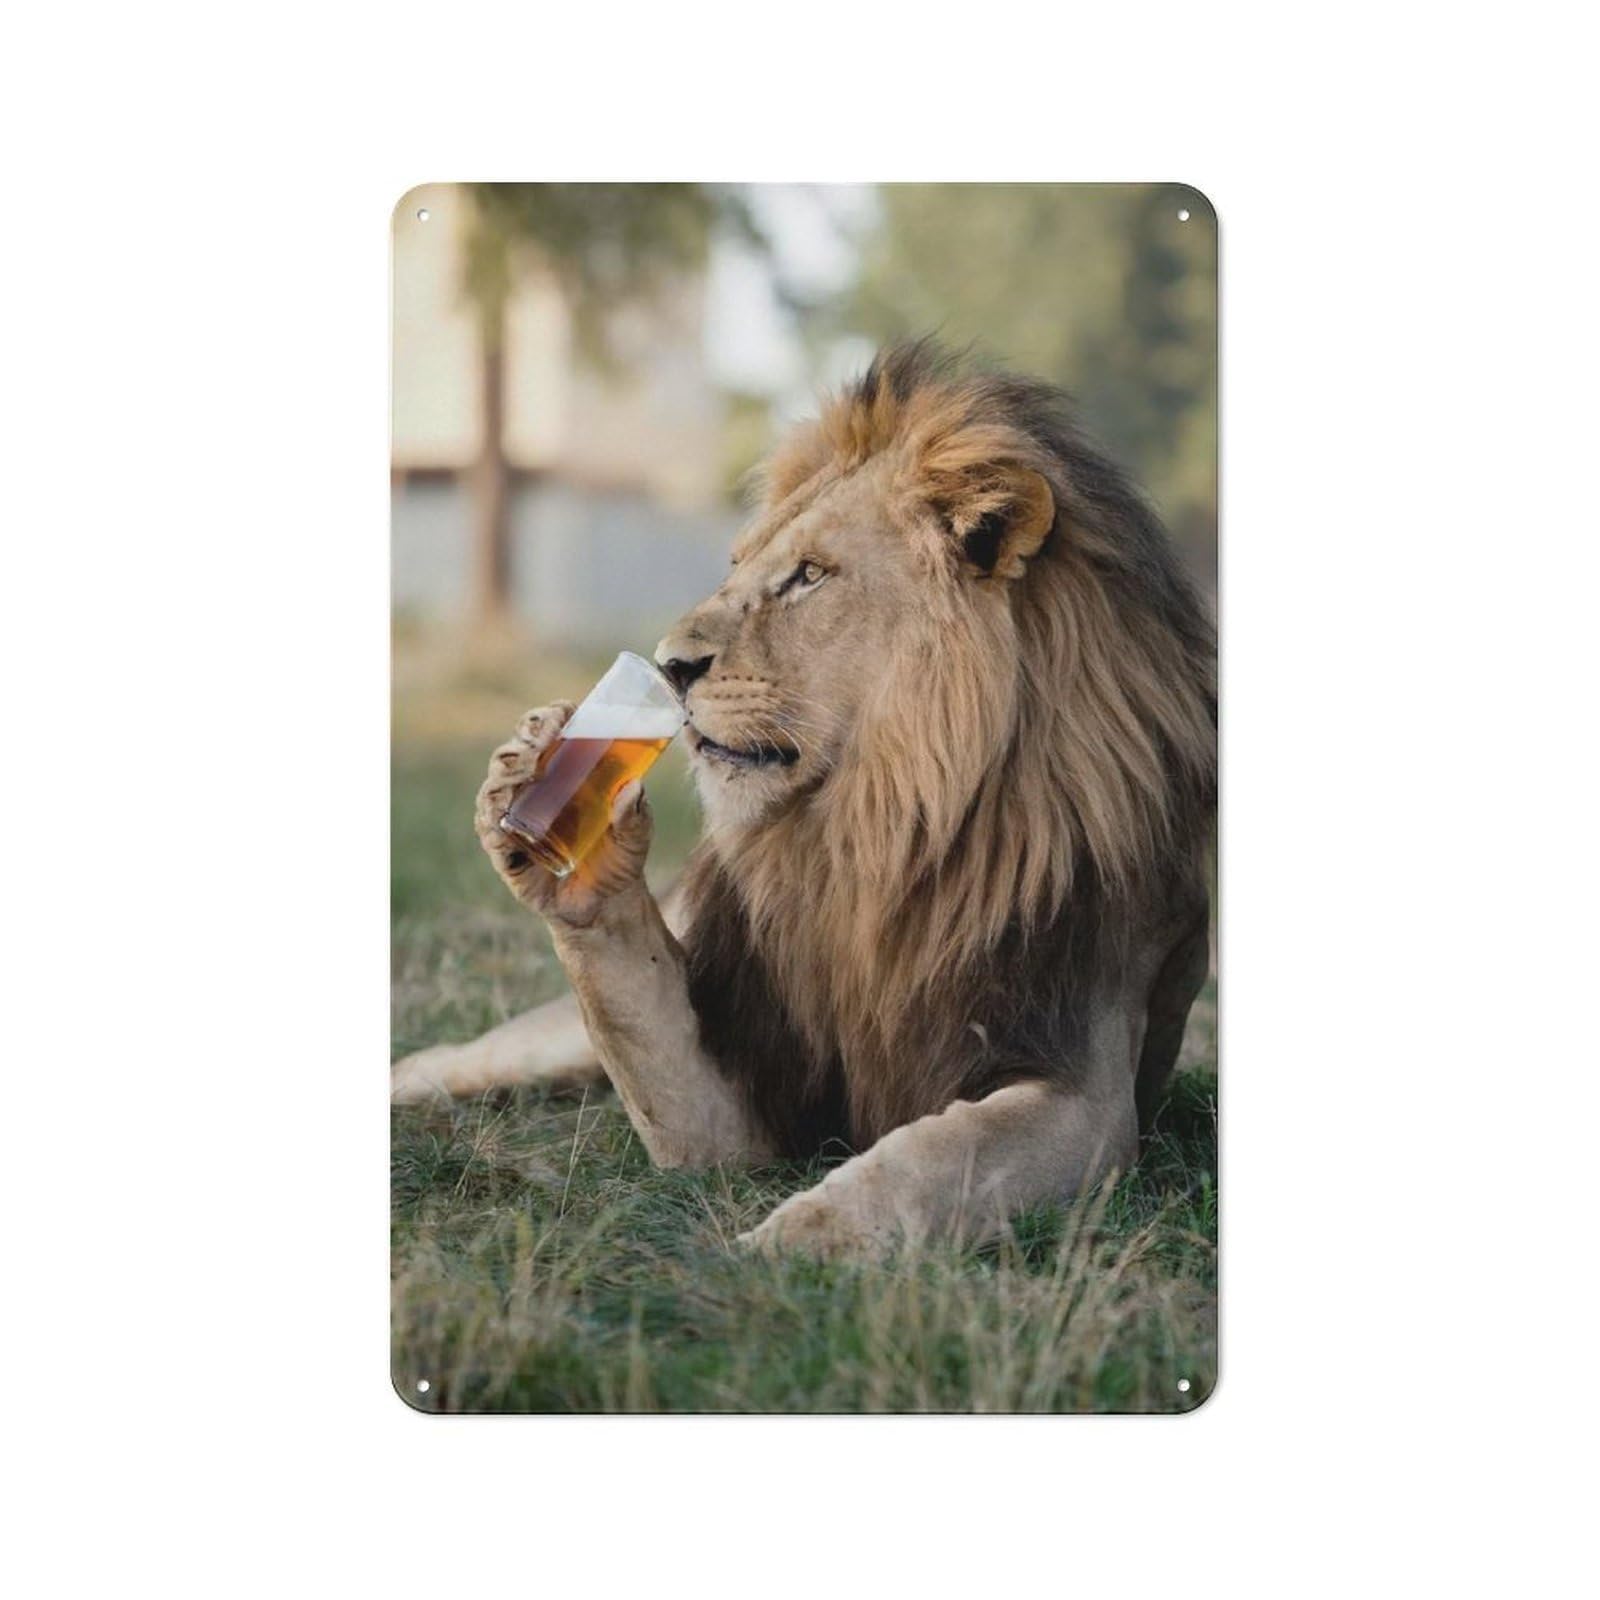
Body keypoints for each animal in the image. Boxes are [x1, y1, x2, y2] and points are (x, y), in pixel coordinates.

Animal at [392, 340, 1217, 1257]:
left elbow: (930, 1161)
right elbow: (639, 1021)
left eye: (810, 576)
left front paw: (772, 1249)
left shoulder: (1086, 1087)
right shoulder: (751, 1097)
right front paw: (544, 803)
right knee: (454, 1058)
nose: (668, 666)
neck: (877, 829)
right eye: (738, 565)